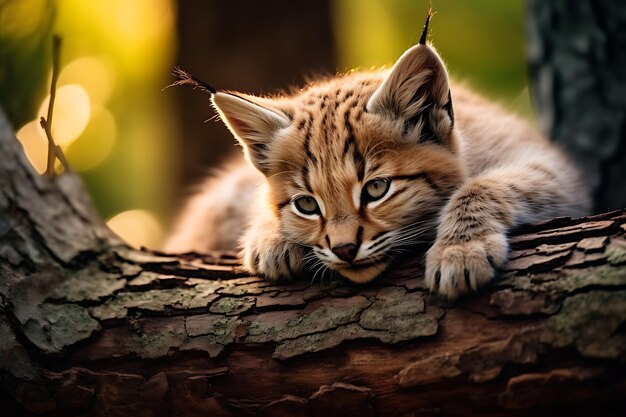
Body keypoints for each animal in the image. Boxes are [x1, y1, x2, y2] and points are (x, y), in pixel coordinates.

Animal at [165, 15, 584, 296]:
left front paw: (461, 250)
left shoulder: (555, 169)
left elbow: (482, 186)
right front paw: (271, 238)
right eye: (306, 204)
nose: (344, 250)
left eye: (377, 189)